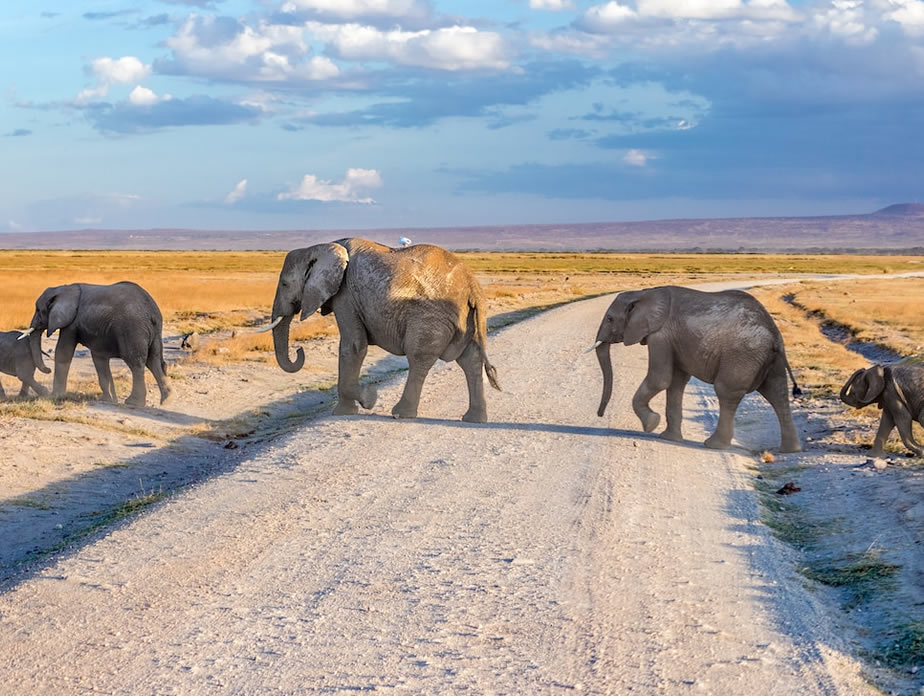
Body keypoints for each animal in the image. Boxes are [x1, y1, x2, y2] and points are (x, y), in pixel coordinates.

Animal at [21, 280, 172, 406]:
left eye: (39, 310)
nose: (48, 369)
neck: (63, 288)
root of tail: (151, 312)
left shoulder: (72, 322)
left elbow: (63, 352)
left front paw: (56, 396)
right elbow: (99, 358)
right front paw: (108, 400)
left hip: (133, 329)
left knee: (136, 363)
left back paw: (134, 402)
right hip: (154, 331)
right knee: (154, 360)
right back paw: (166, 400)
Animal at [264, 239, 502, 422]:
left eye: (284, 284)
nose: (299, 351)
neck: (321, 247)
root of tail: (472, 285)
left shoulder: (346, 295)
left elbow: (353, 346)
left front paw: (368, 398)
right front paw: (351, 408)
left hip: (429, 318)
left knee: (419, 358)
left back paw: (401, 414)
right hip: (467, 319)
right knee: (470, 360)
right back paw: (473, 419)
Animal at [592, 286, 800, 454]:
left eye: (610, 318)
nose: (600, 415)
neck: (643, 293)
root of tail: (775, 335)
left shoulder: (661, 336)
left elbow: (660, 379)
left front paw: (651, 425)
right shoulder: (673, 340)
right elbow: (676, 382)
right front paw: (668, 438)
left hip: (743, 355)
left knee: (727, 392)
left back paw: (714, 445)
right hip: (767, 359)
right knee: (777, 394)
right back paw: (790, 450)